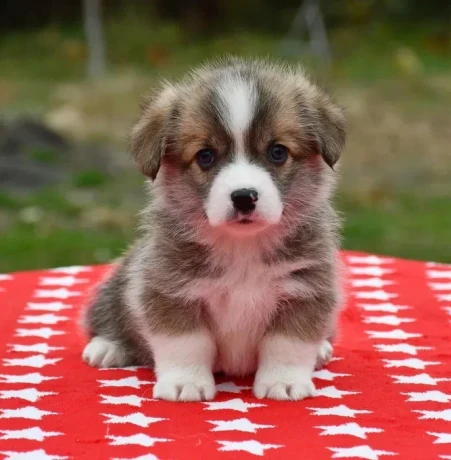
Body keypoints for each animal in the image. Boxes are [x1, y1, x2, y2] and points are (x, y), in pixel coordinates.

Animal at [81, 57, 346, 400]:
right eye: (205, 156)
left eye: (278, 152)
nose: (244, 197)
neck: (242, 246)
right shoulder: (171, 291)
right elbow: (187, 344)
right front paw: (186, 383)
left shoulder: (306, 289)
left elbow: (287, 345)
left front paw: (283, 382)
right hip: (119, 285)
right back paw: (107, 346)